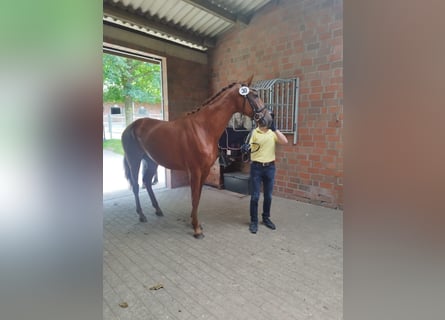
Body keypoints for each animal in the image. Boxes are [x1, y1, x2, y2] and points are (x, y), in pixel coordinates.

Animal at [119, 76, 270, 239]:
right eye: (255, 95)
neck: (203, 129)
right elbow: (194, 197)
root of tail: (130, 127)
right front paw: (196, 228)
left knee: (147, 182)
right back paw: (141, 215)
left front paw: (194, 221)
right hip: (134, 160)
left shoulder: (204, 171)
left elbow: (197, 197)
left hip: (151, 161)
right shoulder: (195, 171)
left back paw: (158, 210)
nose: (268, 119)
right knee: (136, 185)